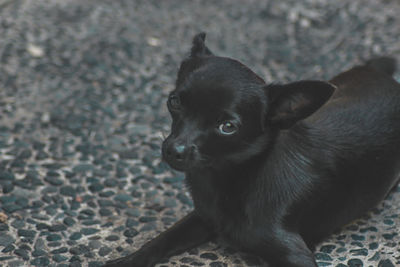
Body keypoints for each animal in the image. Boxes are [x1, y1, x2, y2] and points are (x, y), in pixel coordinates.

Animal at [105, 33, 400, 267]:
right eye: (174, 101)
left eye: (227, 127)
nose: (173, 149)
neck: (227, 176)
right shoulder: (203, 217)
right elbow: (162, 240)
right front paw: (127, 261)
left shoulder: (295, 254)